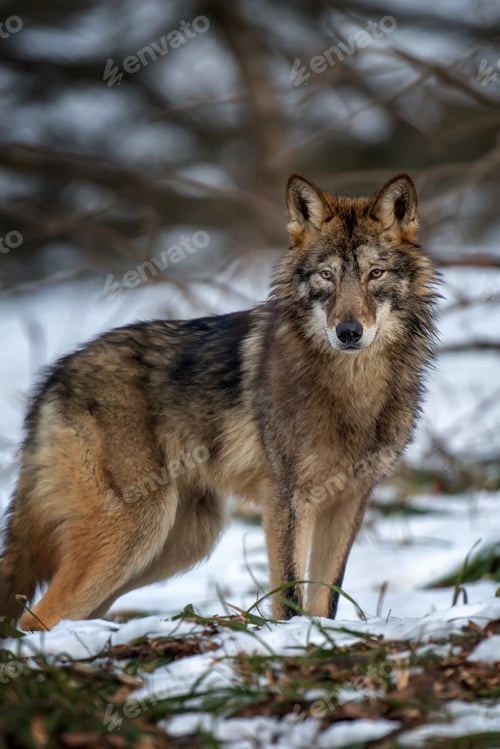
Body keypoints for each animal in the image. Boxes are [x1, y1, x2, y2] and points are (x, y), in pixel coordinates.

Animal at [0, 173, 437, 630]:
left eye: (375, 273)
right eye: (326, 275)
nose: (349, 332)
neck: (353, 390)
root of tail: (54, 376)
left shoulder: (350, 500)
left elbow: (325, 601)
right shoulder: (288, 501)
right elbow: (289, 595)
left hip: (179, 543)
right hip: (135, 532)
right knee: (34, 619)